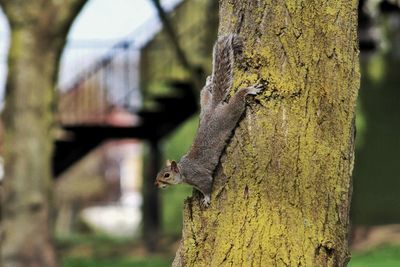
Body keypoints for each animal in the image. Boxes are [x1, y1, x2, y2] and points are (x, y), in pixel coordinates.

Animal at [155, 34, 262, 207]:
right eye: (158, 174)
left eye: (166, 175)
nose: (156, 184)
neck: (184, 172)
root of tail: (213, 106)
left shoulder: (201, 178)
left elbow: (207, 187)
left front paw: (206, 199)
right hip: (204, 102)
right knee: (203, 91)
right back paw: (208, 82)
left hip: (230, 113)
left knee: (238, 98)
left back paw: (249, 89)